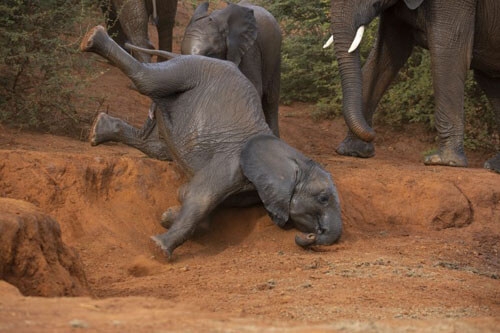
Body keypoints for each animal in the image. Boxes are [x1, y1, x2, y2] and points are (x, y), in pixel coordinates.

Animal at [81, 27, 344, 258]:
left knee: (156, 146)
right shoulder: (231, 164)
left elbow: (194, 200)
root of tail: (183, 55)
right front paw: (158, 248)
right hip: (191, 70)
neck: (293, 156)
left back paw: (98, 129)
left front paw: (167, 216)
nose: (310, 236)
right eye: (323, 199)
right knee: (148, 81)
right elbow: (199, 198)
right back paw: (92, 38)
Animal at [324, 0, 500, 172]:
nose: (373, 132)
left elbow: (449, 54)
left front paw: (443, 161)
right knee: (490, 81)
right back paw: (494, 166)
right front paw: (352, 151)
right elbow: (387, 53)